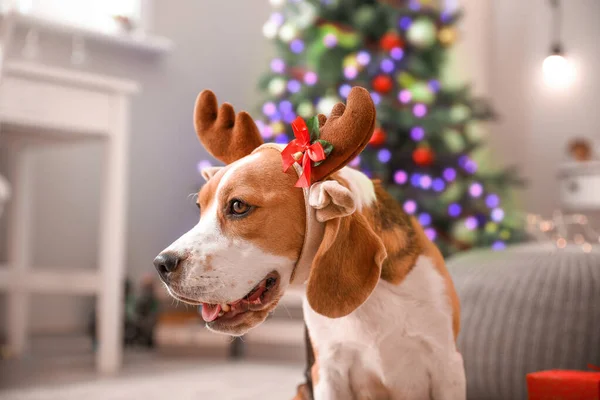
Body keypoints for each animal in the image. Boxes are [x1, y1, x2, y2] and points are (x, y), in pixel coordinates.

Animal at [154, 86, 464, 396]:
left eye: (238, 206)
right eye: (199, 207)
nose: (161, 264)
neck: (373, 298)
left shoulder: (448, 366)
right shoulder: (327, 370)